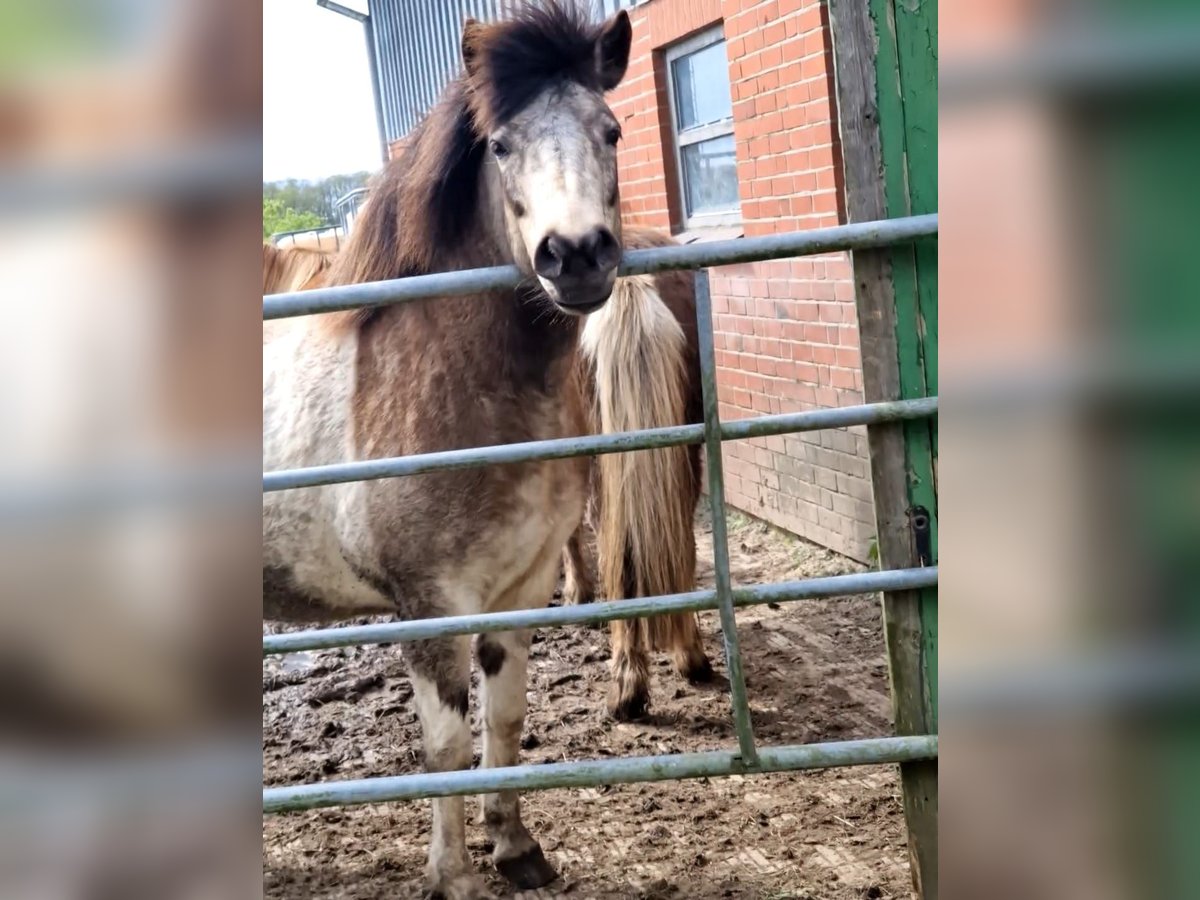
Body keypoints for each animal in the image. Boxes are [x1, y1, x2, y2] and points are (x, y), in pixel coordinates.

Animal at [262, 3, 638, 897]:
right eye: (500, 145)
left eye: (609, 129)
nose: (577, 255)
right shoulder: (431, 605)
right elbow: (445, 746)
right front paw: (455, 877)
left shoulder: (520, 589)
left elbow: (503, 722)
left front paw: (517, 849)